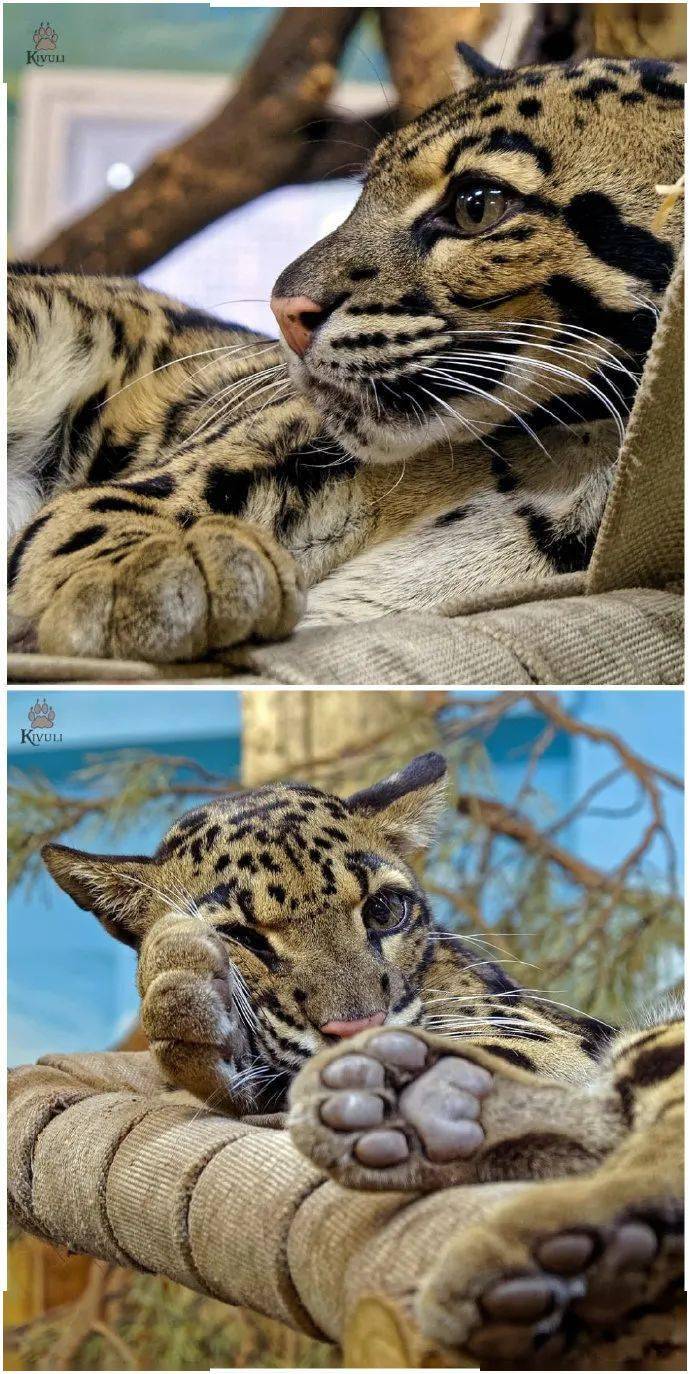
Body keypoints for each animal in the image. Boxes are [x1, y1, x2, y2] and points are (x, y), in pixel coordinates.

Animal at [8, 47, 683, 664]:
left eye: (477, 203)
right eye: (363, 193)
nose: (284, 310)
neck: (571, 459)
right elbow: (116, 502)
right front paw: (158, 562)